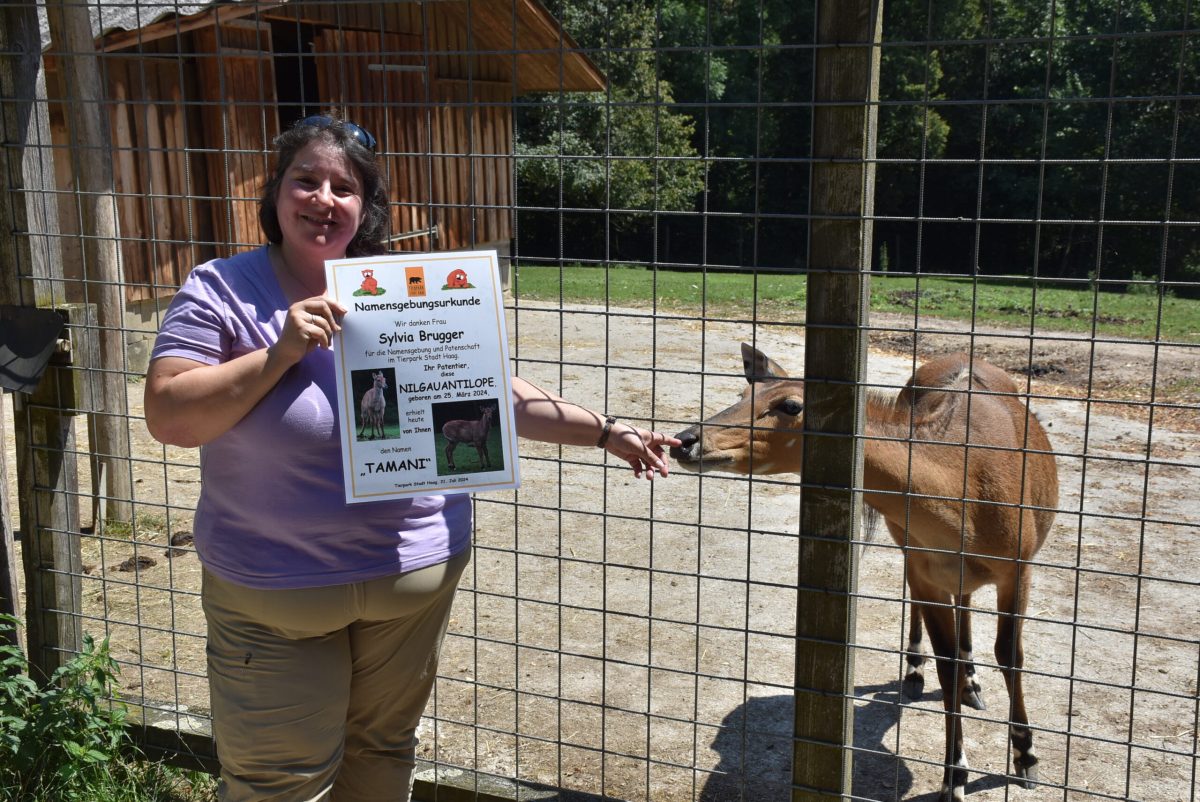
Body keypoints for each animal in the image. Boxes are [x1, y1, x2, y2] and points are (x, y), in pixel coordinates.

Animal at [676, 345, 1060, 802]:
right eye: (743, 393)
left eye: (790, 405)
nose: (686, 440)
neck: (963, 499)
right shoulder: (926, 570)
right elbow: (946, 666)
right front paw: (954, 777)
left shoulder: (1019, 569)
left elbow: (1011, 656)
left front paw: (1026, 757)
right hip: (915, 560)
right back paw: (925, 674)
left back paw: (974, 685)